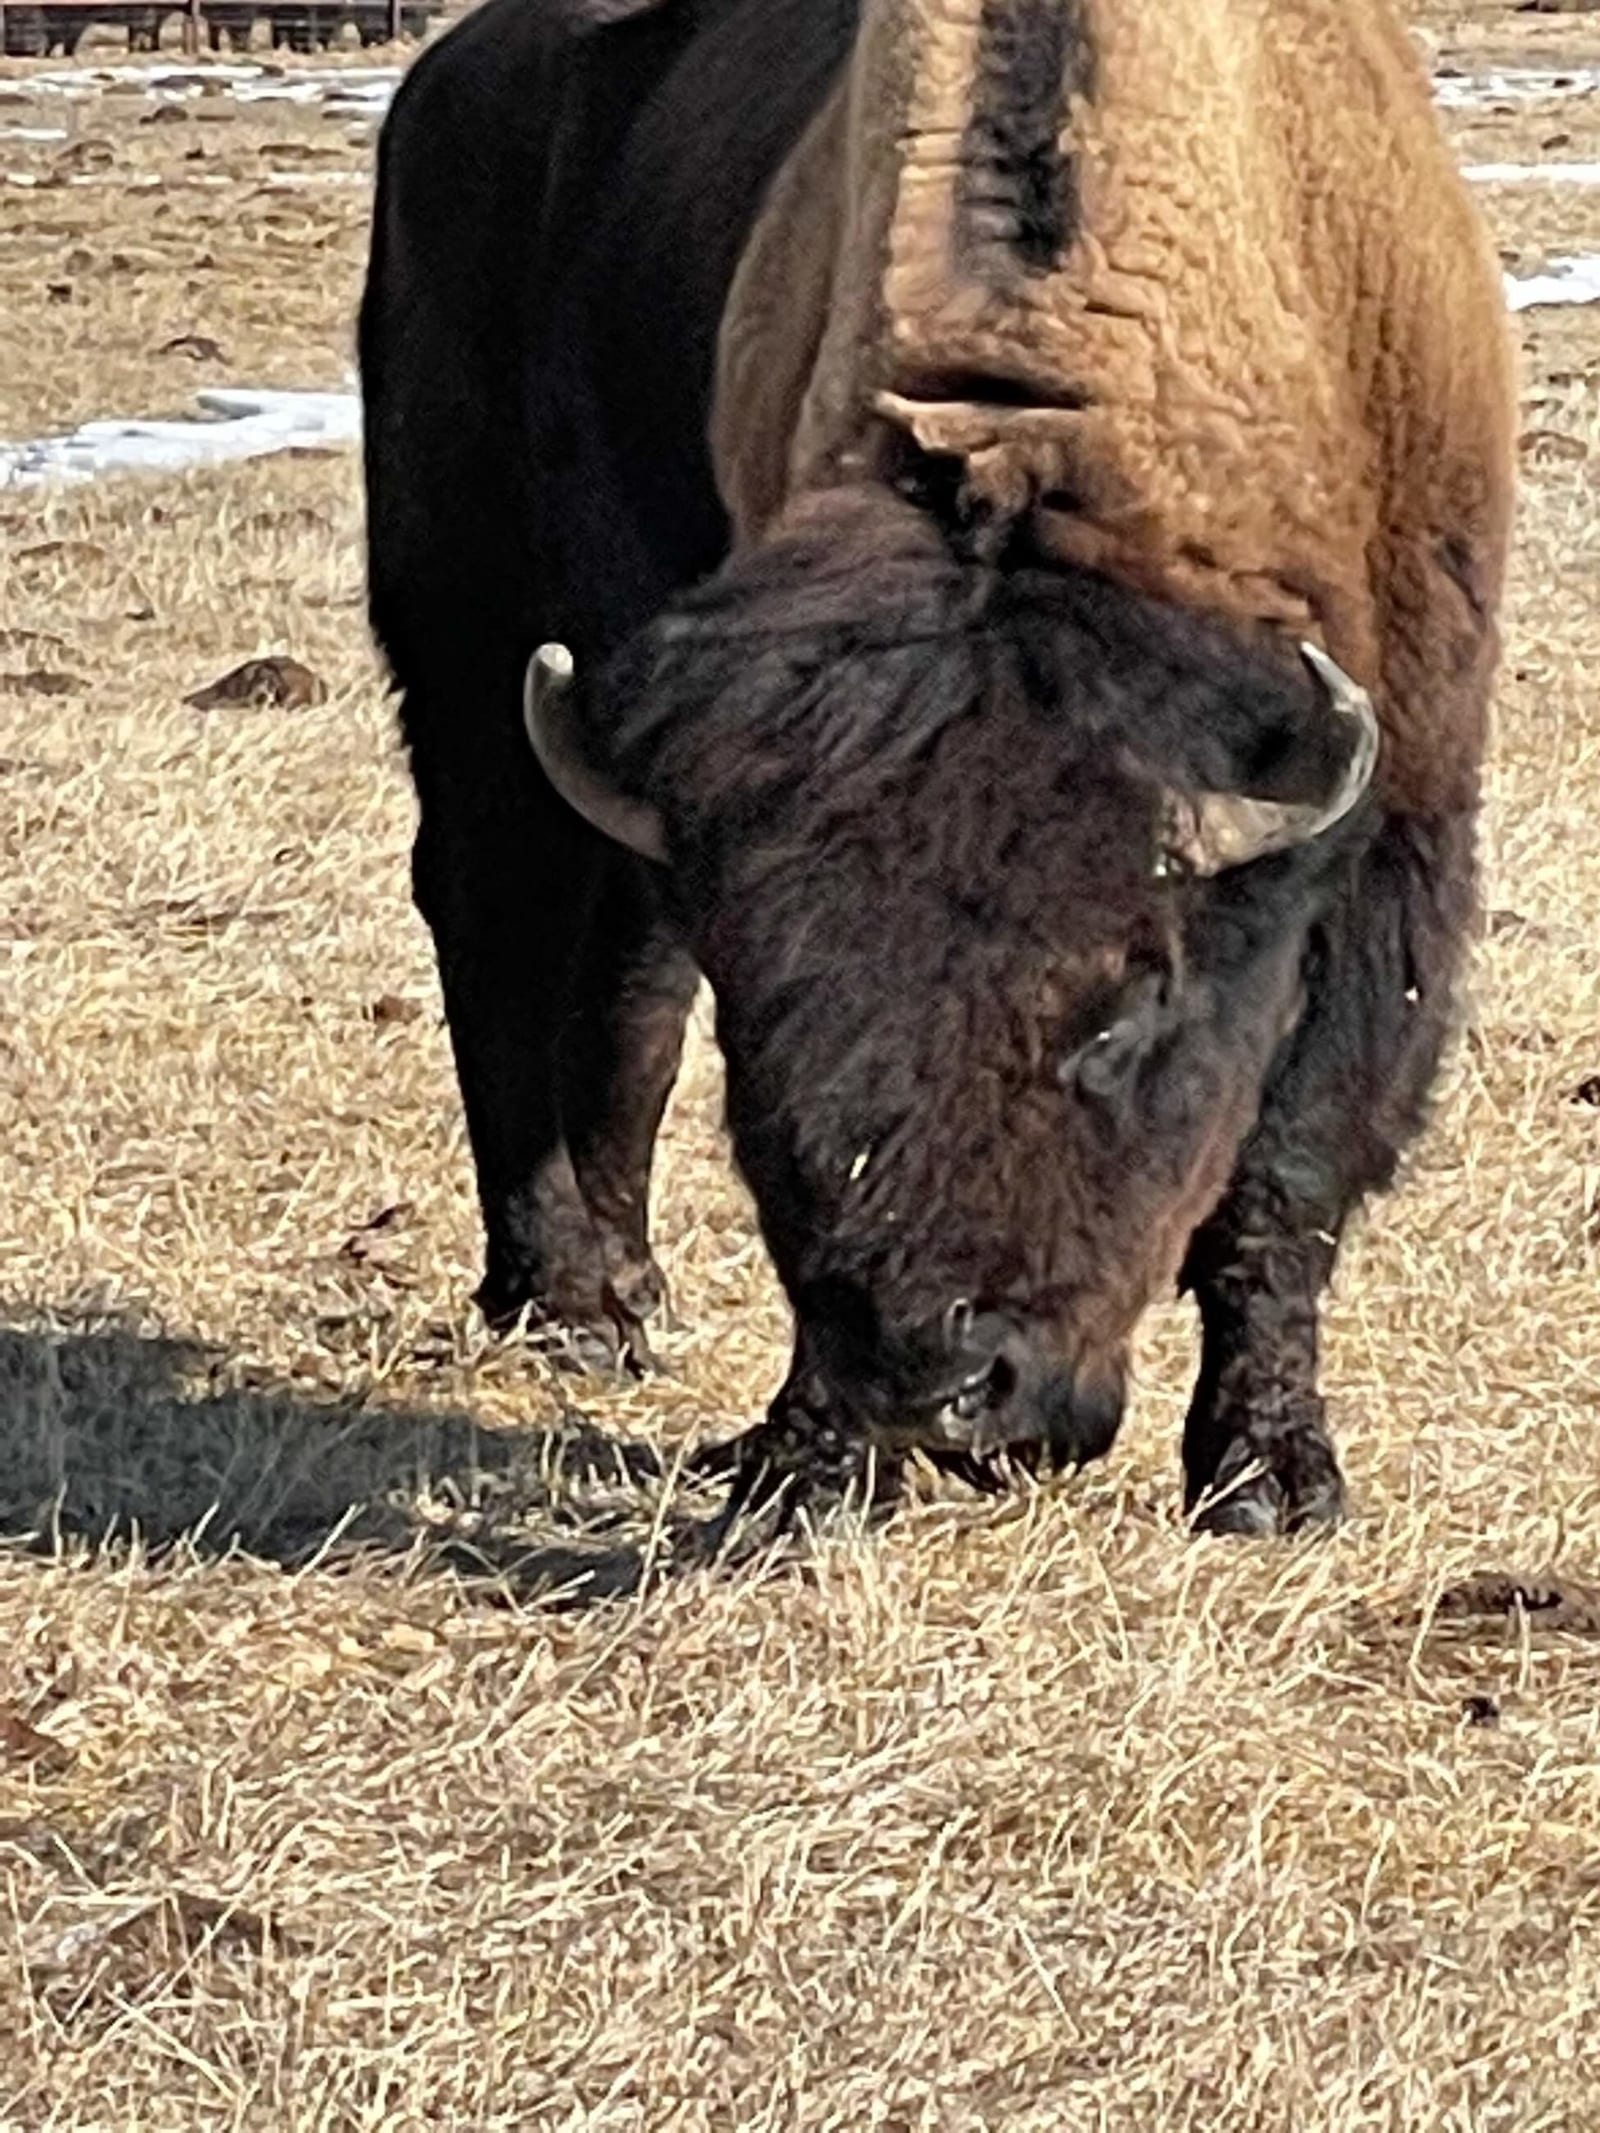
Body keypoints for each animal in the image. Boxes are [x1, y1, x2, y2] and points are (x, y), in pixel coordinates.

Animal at [360, 0, 1515, 1534]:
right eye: (773, 1013)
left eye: (1127, 1010)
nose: (948, 1388)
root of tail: (445, 78)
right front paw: (802, 1460)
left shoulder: (1402, 815)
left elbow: (1287, 1168)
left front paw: (1272, 1478)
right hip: (466, 632)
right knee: (496, 915)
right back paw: (568, 1302)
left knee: (622, 969)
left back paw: (626, 1286)